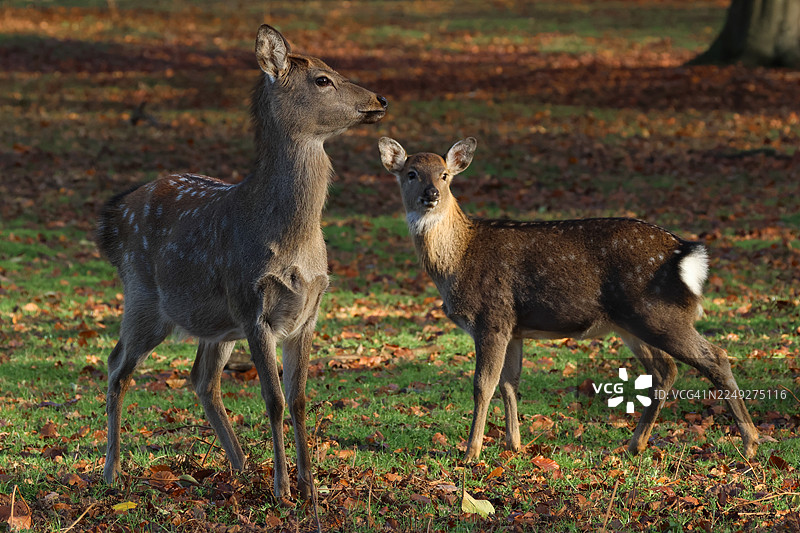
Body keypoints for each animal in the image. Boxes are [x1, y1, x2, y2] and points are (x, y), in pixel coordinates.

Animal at [95, 24, 387, 500]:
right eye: (323, 79)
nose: (380, 99)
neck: (293, 240)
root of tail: (112, 218)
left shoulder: (308, 313)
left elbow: (300, 399)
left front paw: (309, 486)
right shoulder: (253, 308)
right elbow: (274, 399)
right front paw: (283, 488)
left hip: (216, 324)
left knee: (201, 379)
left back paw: (241, 467)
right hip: (144, 299)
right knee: (117, 365)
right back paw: (112, 472)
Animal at [378, 137, 759, 462]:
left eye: (445, 175)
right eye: (411, 173)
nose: (431, 194)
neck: (458, 260)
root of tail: (685, 252)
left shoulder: (492, 317)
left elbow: (483, 385)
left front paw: (471, 452)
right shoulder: (514, 327)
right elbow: (510, 383)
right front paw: (514, 444)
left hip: (659, 313)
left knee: (714, 357)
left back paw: (751, 443)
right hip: (631, 324)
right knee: (665, 370)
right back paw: (634, 444)